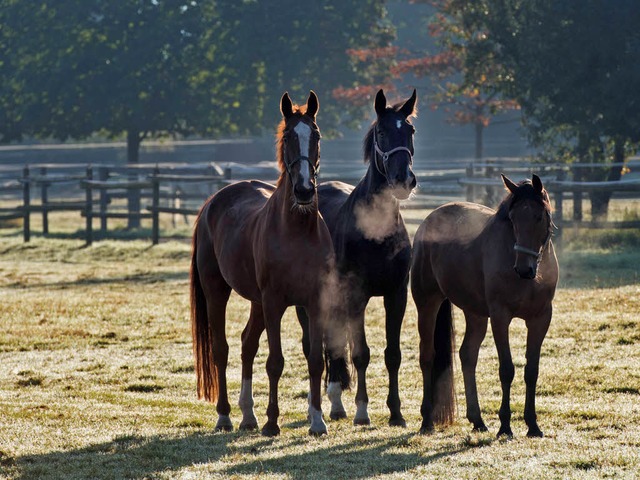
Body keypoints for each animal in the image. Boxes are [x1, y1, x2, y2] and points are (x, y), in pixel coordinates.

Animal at [191, 90, 336, 436]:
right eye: (287, 137)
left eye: (316, 135)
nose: (304, 190)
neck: (296, 232)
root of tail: (212, 203)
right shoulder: (274, 303)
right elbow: (275, 362)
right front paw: (272, 422)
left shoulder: (314, 302)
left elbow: (315, 360)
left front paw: (318, 421)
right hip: (218, 292)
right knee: (222, 349)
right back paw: (225, 416)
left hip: (256, 302)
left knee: (247, 344)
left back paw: (248, 415)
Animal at [298, 88, 418, 426]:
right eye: (382, 132)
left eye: (410, 130)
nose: (403, 180)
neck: (375, 232)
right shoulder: (356, 296)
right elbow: (361, 353)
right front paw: (363, 412)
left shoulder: (396, 294)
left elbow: (392, 354)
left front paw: (396, 413)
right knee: (316, 347)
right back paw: (324, 405)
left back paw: (337, 404)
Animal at [412, 174, 556, 436]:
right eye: (512, 218)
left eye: (539, 216)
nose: (523, 269)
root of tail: (429, 220)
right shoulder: (500, 317)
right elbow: (507, 369)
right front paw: (505, 426)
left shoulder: (540, 319)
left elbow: (532, 371)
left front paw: (532, 424)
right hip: (427, 302)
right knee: (427, 356)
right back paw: (427, 420)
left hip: (475, 314)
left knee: (467, 355)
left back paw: (477, 420)